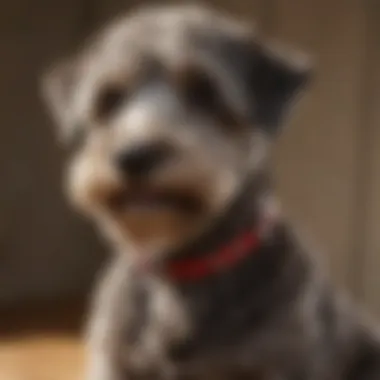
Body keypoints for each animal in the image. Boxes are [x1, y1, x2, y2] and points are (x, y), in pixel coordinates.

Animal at [40, 3, 380, 380]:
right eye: (109, 98)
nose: (135, 154)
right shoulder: (115, 359)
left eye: (204, 91)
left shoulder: (284, 360)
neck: (182, 265)